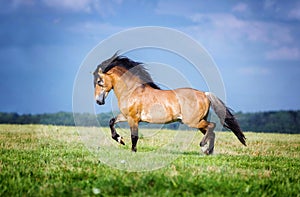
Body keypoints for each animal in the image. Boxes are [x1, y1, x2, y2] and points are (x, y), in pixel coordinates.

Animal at [94, 53, 246, 155]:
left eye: (99, 82)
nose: (98, 101)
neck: (132, 91)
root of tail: (204, 94)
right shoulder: (126, 116)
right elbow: (111, 121)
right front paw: (120, 139)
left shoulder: (133, 119)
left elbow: (134, 136)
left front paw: (132, 151)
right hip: (199, 121)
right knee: (211, 132)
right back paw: (208, 151)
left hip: (193, 122)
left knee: (212, 127)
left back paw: (203, 146)